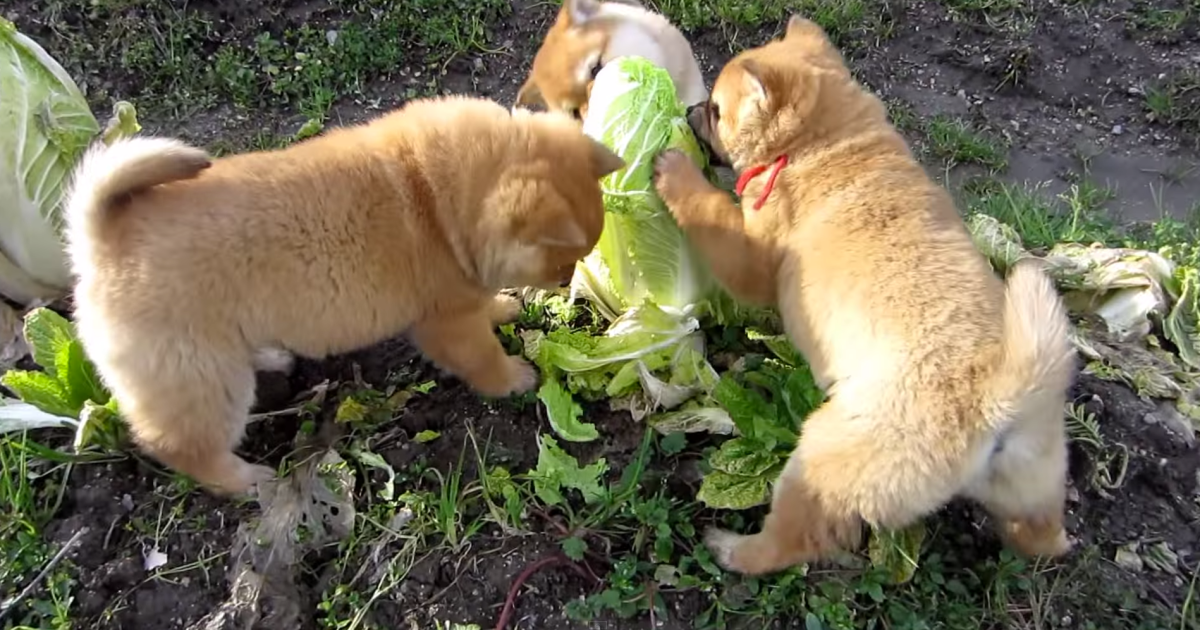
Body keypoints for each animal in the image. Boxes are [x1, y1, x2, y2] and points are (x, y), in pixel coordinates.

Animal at [63, 94, 628, 496]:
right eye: (562, 262)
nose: (566, 281)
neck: (438, 198)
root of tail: (102, 240)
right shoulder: (447, 322)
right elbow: (482, 357)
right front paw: (512, 378)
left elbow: (485, 305)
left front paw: (503, 305)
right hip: (198, 378)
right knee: (181, 446)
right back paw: (244, 481)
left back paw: (271, 358)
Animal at [652, 15, 1084, 573]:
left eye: (717, 110)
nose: (688, 110)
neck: (823, 144)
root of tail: (998, 401)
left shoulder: (748, 256)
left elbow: (709, 209)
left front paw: (675, 170)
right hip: (1034, 480)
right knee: (1038, 531)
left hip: (823, 453)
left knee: (793, 539)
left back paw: (732, 548)